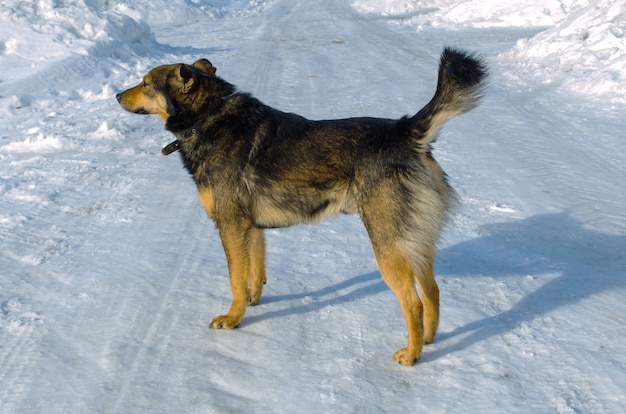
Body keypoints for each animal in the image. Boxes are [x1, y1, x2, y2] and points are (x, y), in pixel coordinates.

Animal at [118, 46, 488, 366]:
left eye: (146, 83)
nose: (117, 96)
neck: (207, 116)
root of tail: (406, 130)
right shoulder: (251, 228)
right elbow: (255, 272)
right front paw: (252, 302)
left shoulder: (231, 226)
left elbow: (236, 280)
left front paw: (233, 319)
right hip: (415, 239)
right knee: (432, 291)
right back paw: (426, 340)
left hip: (387, 243)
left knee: (412, 302)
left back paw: (411, 355)